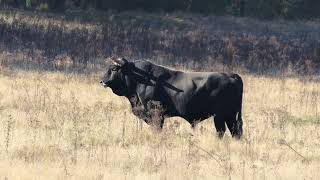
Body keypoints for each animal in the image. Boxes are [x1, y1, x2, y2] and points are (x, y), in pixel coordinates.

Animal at [101, 58, 244, 139]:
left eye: (113, 69)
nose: (102, 81)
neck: (140, 79)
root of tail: (231, 75)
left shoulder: (156, 114)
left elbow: (157, 128)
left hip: (221, 115)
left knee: (223, 131)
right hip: (229, 116)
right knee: (234, 132)